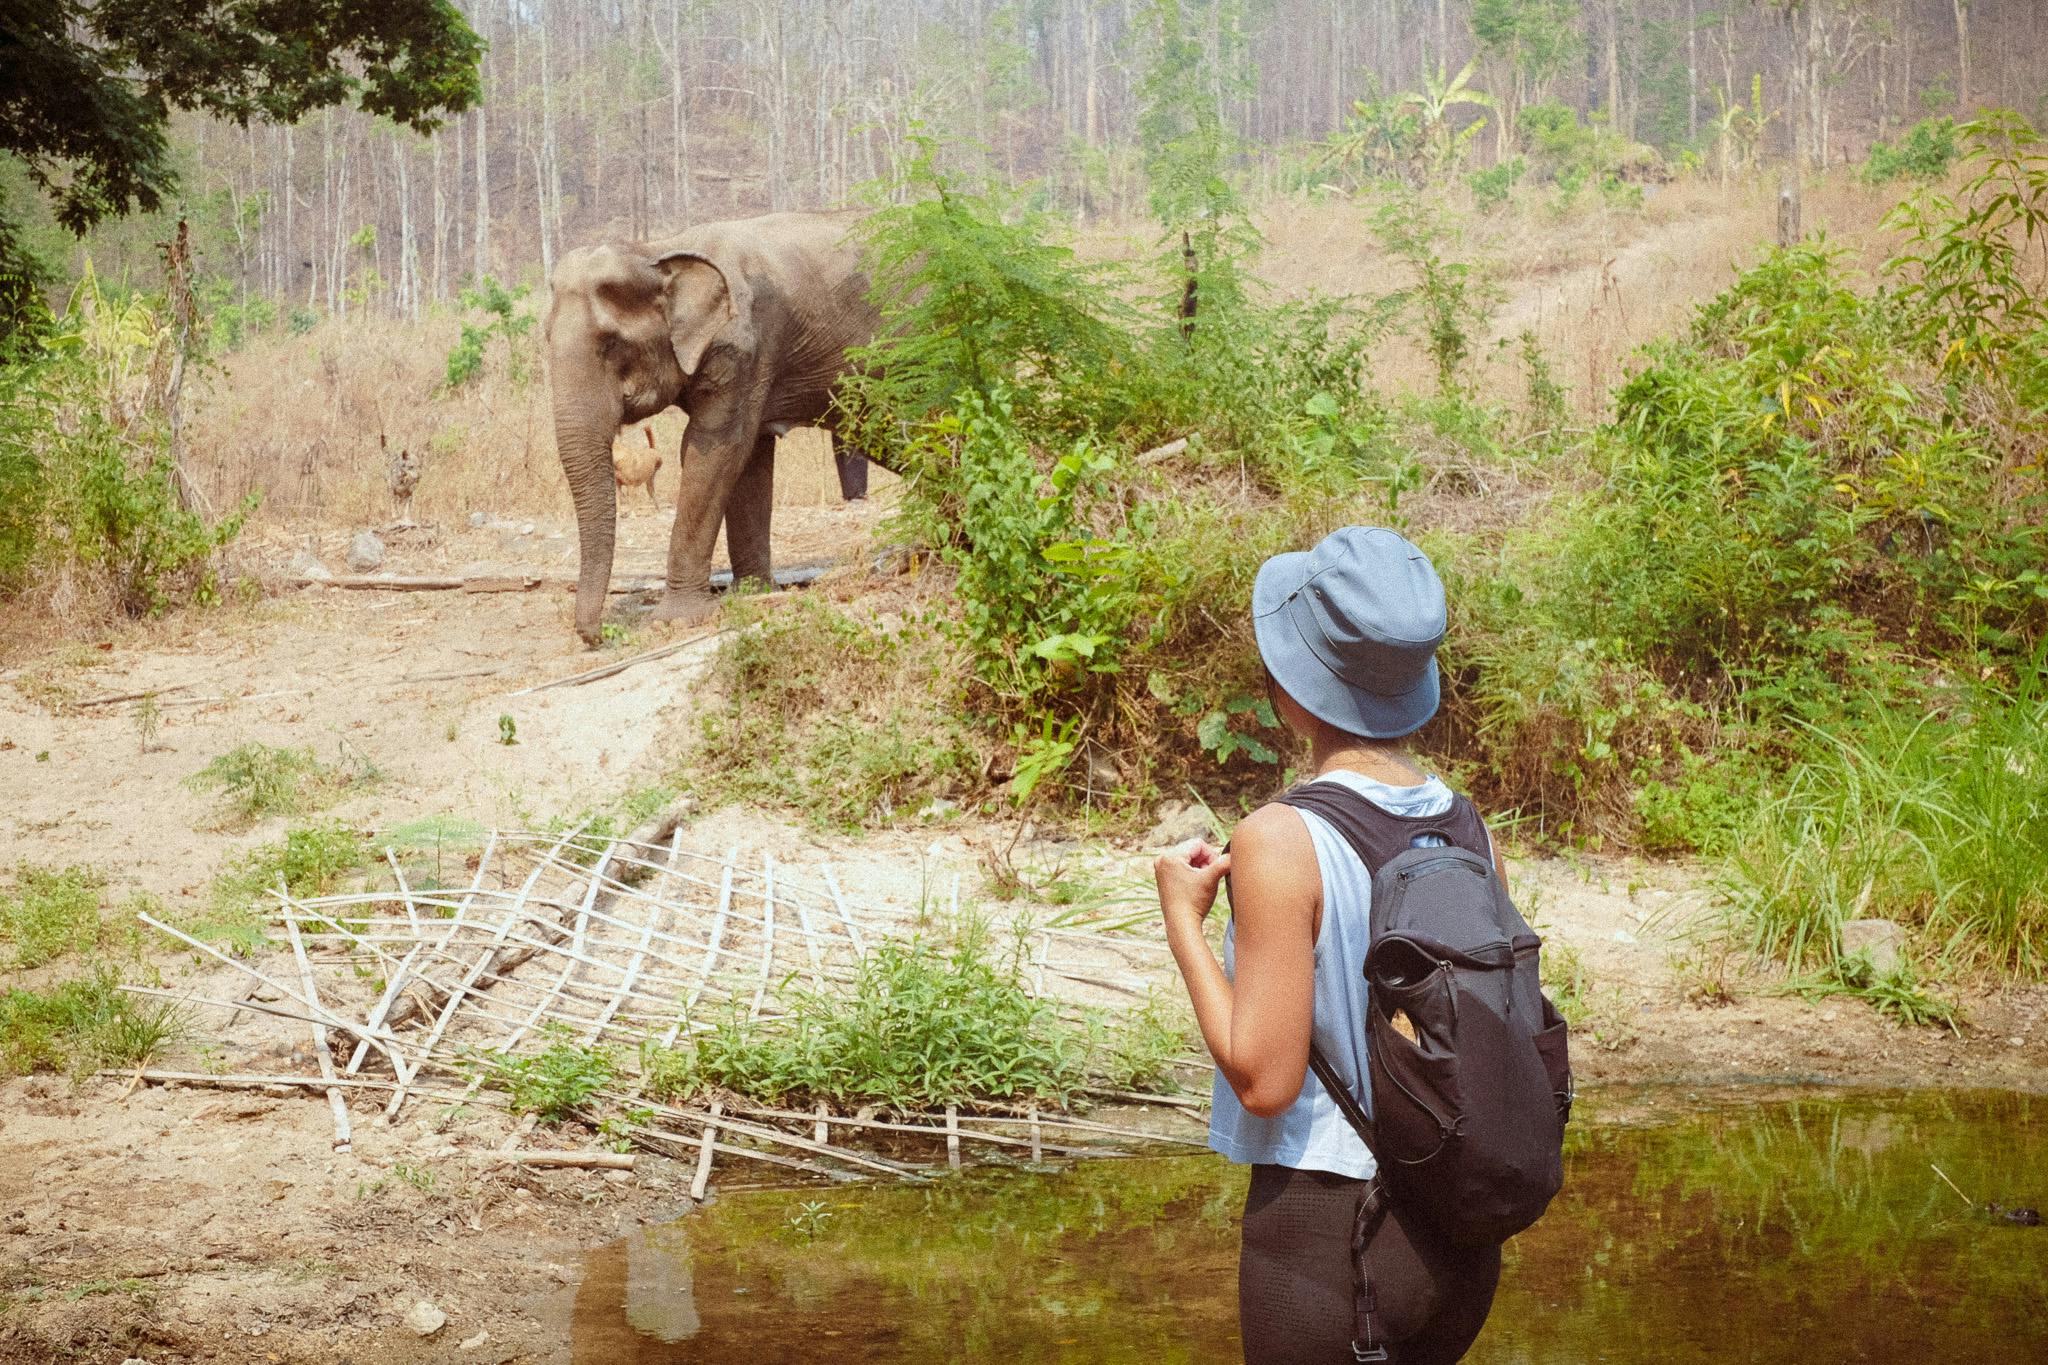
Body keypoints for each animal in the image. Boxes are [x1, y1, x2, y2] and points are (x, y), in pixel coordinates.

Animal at [546, 210, 881, 645]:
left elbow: (714, 447)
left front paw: (675, 621)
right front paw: (753, 594)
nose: (597, 635)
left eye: (610, 344)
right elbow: (750, 455)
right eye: (546, 338)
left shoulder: (743, 345)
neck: (658, 251)